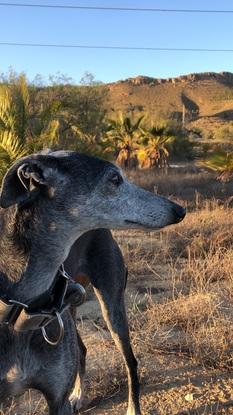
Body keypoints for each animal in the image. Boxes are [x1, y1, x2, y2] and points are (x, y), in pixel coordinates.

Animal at [0, 151, 186, 414]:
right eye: (115, 178)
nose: (180, 210)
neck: (21, 308)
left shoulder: (58, 400)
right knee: (83, 349)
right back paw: (79, 394)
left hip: (112, 306)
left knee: (130, 361)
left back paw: (132, 407)